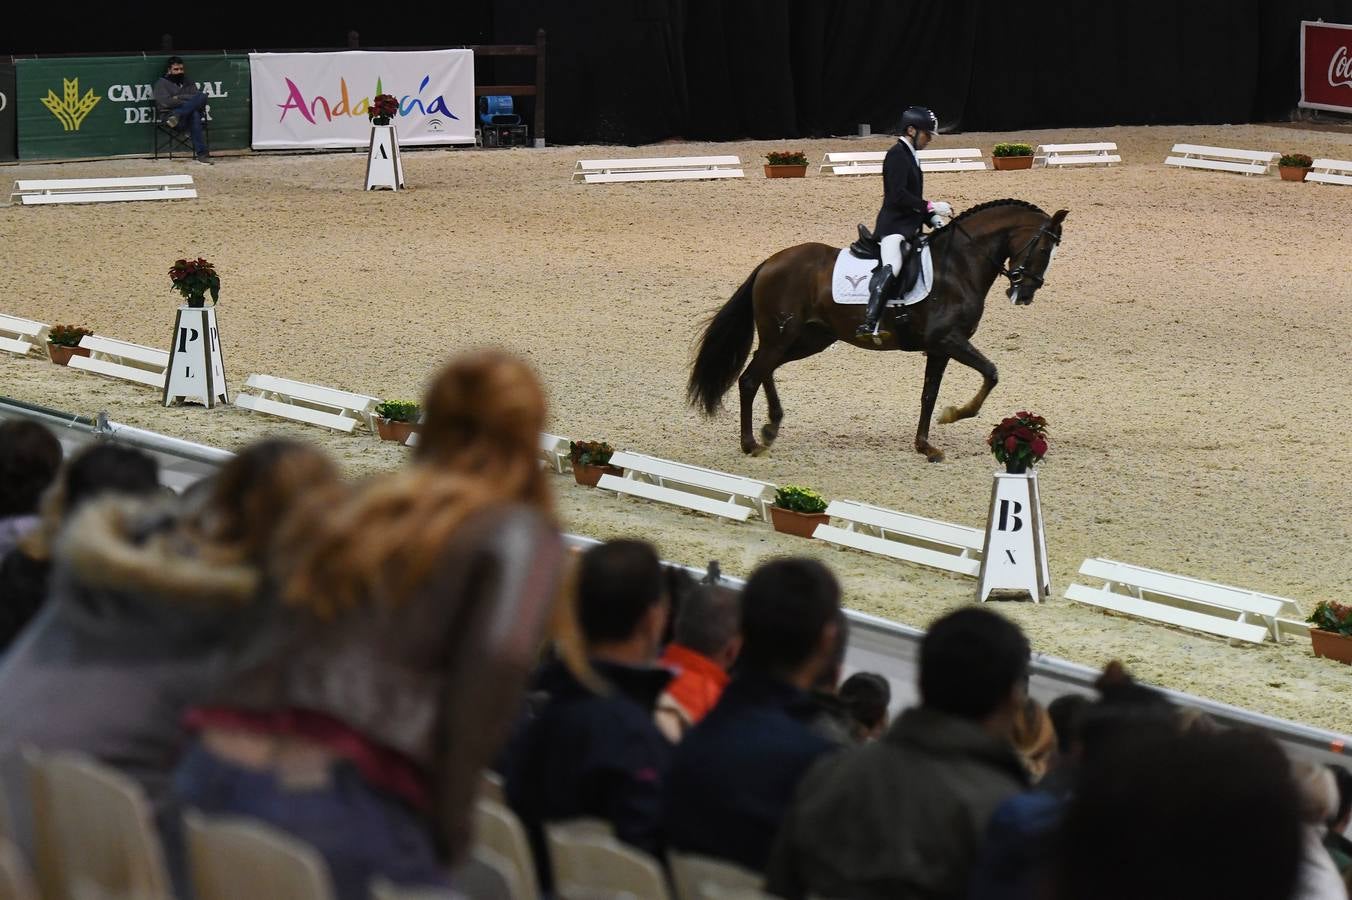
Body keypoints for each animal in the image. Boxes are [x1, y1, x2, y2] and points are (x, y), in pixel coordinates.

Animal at [686, 200, 1065, 459]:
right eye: (1044, 248)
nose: (1025, 294)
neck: (959, 265)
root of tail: (769, 262)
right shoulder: (948, 340)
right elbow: (991, 372)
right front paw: (955, 414)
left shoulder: (939, 348)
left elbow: (929, 395)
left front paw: (925, 445)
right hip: (784, 336)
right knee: (750, 377)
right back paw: (751, 443)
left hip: (809, 338)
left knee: (764, 368)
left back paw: (771, 426)